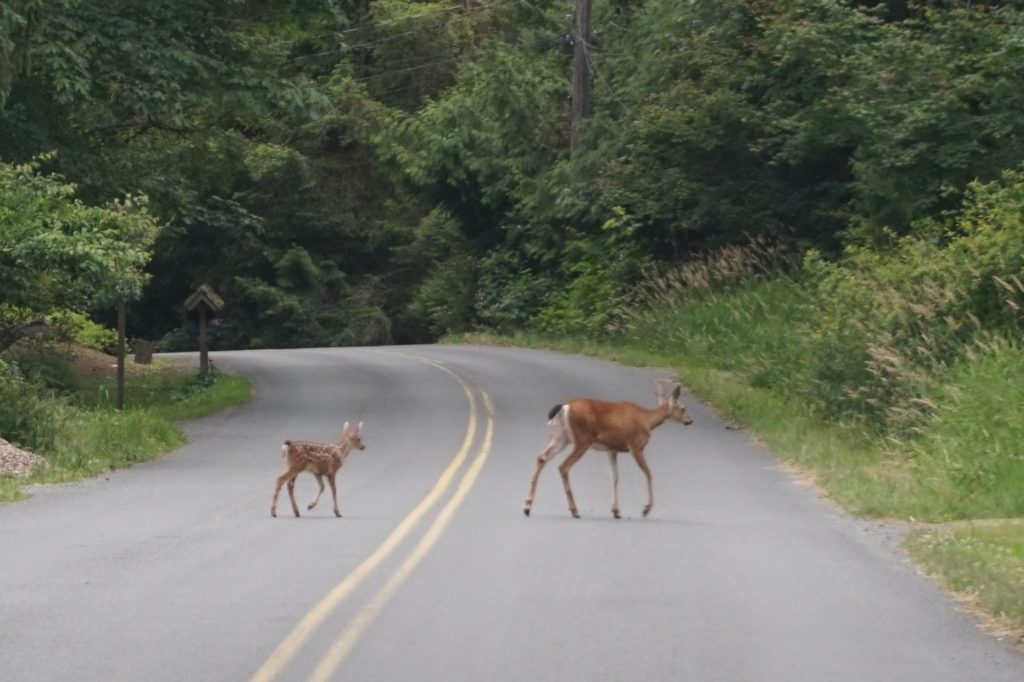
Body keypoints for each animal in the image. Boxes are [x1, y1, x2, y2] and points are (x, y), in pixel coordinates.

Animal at [523, 380, 693, 519]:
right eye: (683, 408)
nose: (690, 420)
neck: (647, 420)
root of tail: (564, 407)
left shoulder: (612, 450)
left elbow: (615, 477)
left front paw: (616, 511)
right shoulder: (636, 446)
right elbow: (648, 473)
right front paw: (646, 509)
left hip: (561, 437)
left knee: (542, 457)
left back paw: (527, 506)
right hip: (582, 439)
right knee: (563, 466)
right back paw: (574, 510)